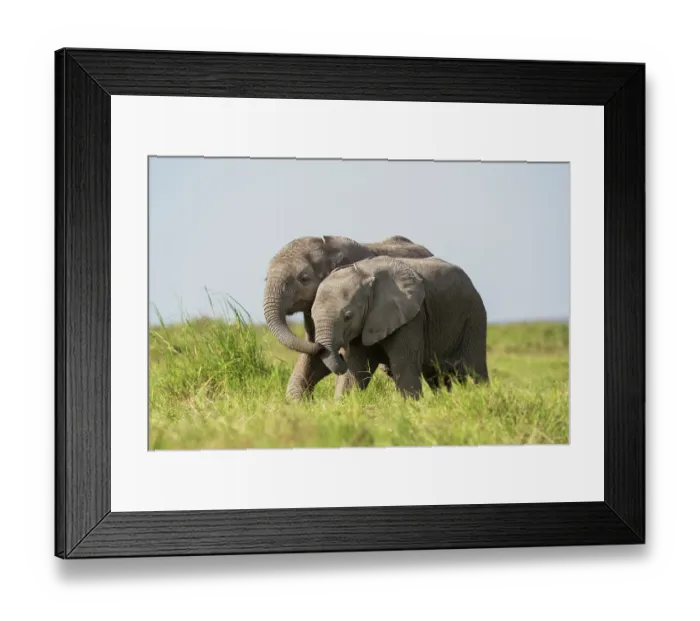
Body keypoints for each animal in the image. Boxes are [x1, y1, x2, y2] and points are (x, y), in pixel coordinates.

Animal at [263, 235, 434, 400]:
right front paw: (299, 403)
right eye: (265, 279)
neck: (327, 247)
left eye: (304, 278)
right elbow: (315, 358)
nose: (340, 355)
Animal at [310, 256, 489, 399]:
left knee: (474, 368)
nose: (340, 354)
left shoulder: (411, 317)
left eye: (348, 316)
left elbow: (403, 364)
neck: (364, 273)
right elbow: (355, 370)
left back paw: (481, 395)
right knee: (435, 375)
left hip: (474, 317)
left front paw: (411, 406)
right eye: (312, 316)